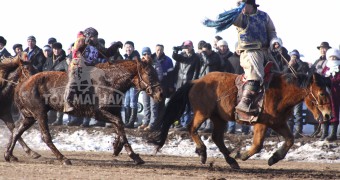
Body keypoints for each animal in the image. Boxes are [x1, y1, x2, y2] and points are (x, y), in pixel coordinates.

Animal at [4, 59, 163, 165]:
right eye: (149, 74)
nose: (161, 94)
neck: (109, 81)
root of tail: (21, 85)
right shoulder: (99, 113)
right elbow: (119, 124)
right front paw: (128, 153)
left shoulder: (113, 112)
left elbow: (120, 126)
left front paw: (121, 149)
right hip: (40, 114)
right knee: (45, 137)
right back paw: (63, 158)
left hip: (29, 116)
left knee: (16, 131)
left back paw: (9, 155)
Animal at [151, 71, 332, 169]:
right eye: (322, 93)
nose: (328, 115)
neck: (280, 93)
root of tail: (197, 81)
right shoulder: (261, 123)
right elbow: (258, 145)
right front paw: (242, 155)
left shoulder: (278, 123)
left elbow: (290, 140)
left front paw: (274, 158)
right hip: (203, 113)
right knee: (192, 128)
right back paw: (203, 152)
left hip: (219, 118)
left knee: (217, 137)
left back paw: (231, 161)